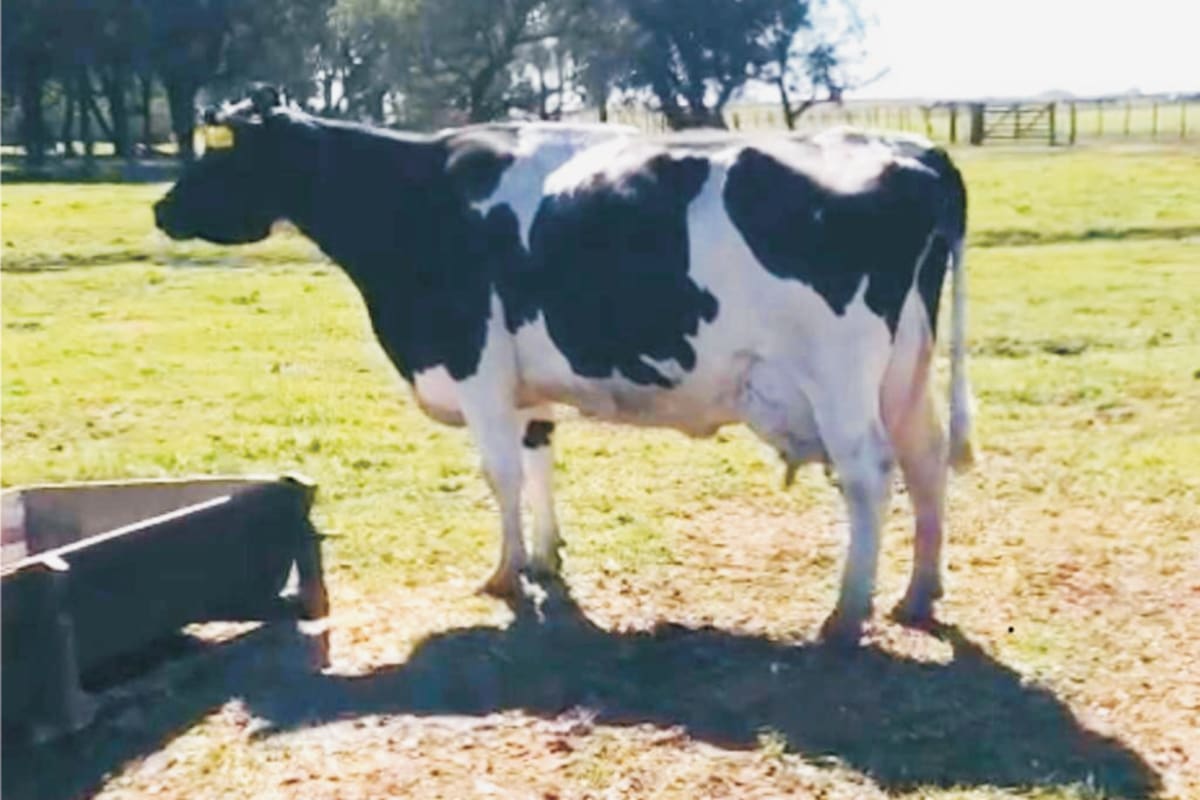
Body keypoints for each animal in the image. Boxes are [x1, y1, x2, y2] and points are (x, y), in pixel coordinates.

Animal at [154, 87, 974, 644]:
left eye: (225, 150)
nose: (161, 208)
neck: (414, 200)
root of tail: (912, 152)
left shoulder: (477, 366)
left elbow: (501, 475)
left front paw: (505, 573)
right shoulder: (526, 385)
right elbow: (539, 458)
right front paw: (545, 560)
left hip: (839, 376)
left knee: (870, 473)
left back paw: (847, 613)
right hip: (905, 368)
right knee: (927, 459)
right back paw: (918, 593)